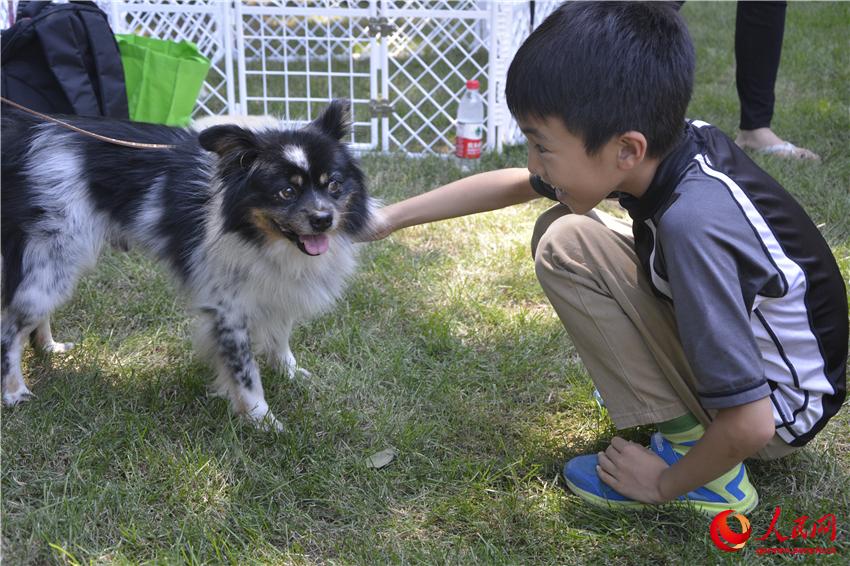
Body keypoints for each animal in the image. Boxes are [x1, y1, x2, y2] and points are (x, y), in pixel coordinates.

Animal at [0, 101, 372, 430]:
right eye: (286, 192)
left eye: (334, 184)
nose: (323, 220)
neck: (256, 233)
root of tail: (28, 133)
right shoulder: (229, 310)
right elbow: (246, 374)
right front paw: (262, 420)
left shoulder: (277, 290)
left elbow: (280, 337)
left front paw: (290, 374)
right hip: (54, 259)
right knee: (10, 326)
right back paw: (15, 391)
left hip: (52, 266)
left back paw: (48, 348)